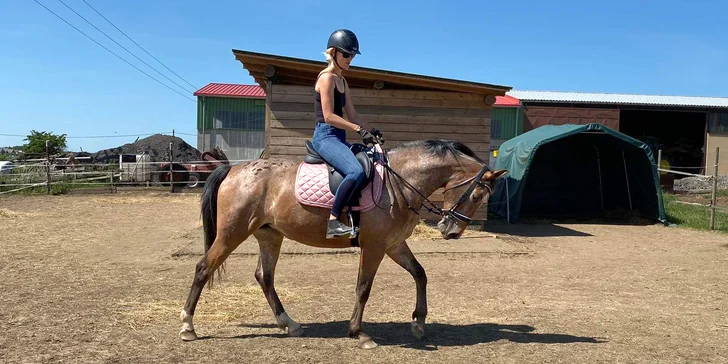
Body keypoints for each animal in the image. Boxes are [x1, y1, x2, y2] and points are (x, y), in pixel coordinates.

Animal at [178, 138, 506, 348]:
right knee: (203, 269)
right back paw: (187, 326)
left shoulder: (393, 244)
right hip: (231, 234)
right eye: (477, 195)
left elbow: (420, 274)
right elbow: (363, 288)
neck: (398, 182)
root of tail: (234, 169)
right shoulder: (374, 246)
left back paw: (289, 324)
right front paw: (359, 333)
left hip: (269, 235)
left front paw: (419, 322)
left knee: (264, 277)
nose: (451, 231)